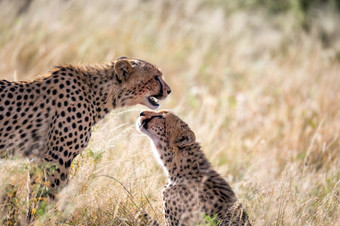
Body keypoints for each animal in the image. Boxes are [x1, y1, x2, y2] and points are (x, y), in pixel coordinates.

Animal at [0, 57, 170, 195]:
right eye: (156, 77)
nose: (169, 90)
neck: (96, 94)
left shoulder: (38, 157)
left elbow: (35, 193)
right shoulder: (56, 158)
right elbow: (53, 196)